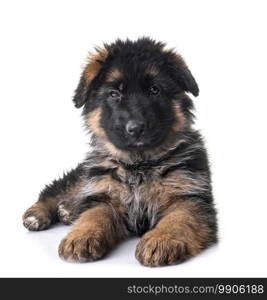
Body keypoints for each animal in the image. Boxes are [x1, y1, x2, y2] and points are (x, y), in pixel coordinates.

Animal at [23, 38, 218, 268]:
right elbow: (93, 215)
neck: (139, 165)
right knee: (60, 189)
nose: (136, 128)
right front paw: (81, 236)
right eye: (114, 94)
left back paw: (68, 211)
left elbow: (179, 219)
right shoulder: (105, 194)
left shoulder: (189, 197)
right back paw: (39, 214)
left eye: (154, 90)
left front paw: (161, 240)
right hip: (85, 175)